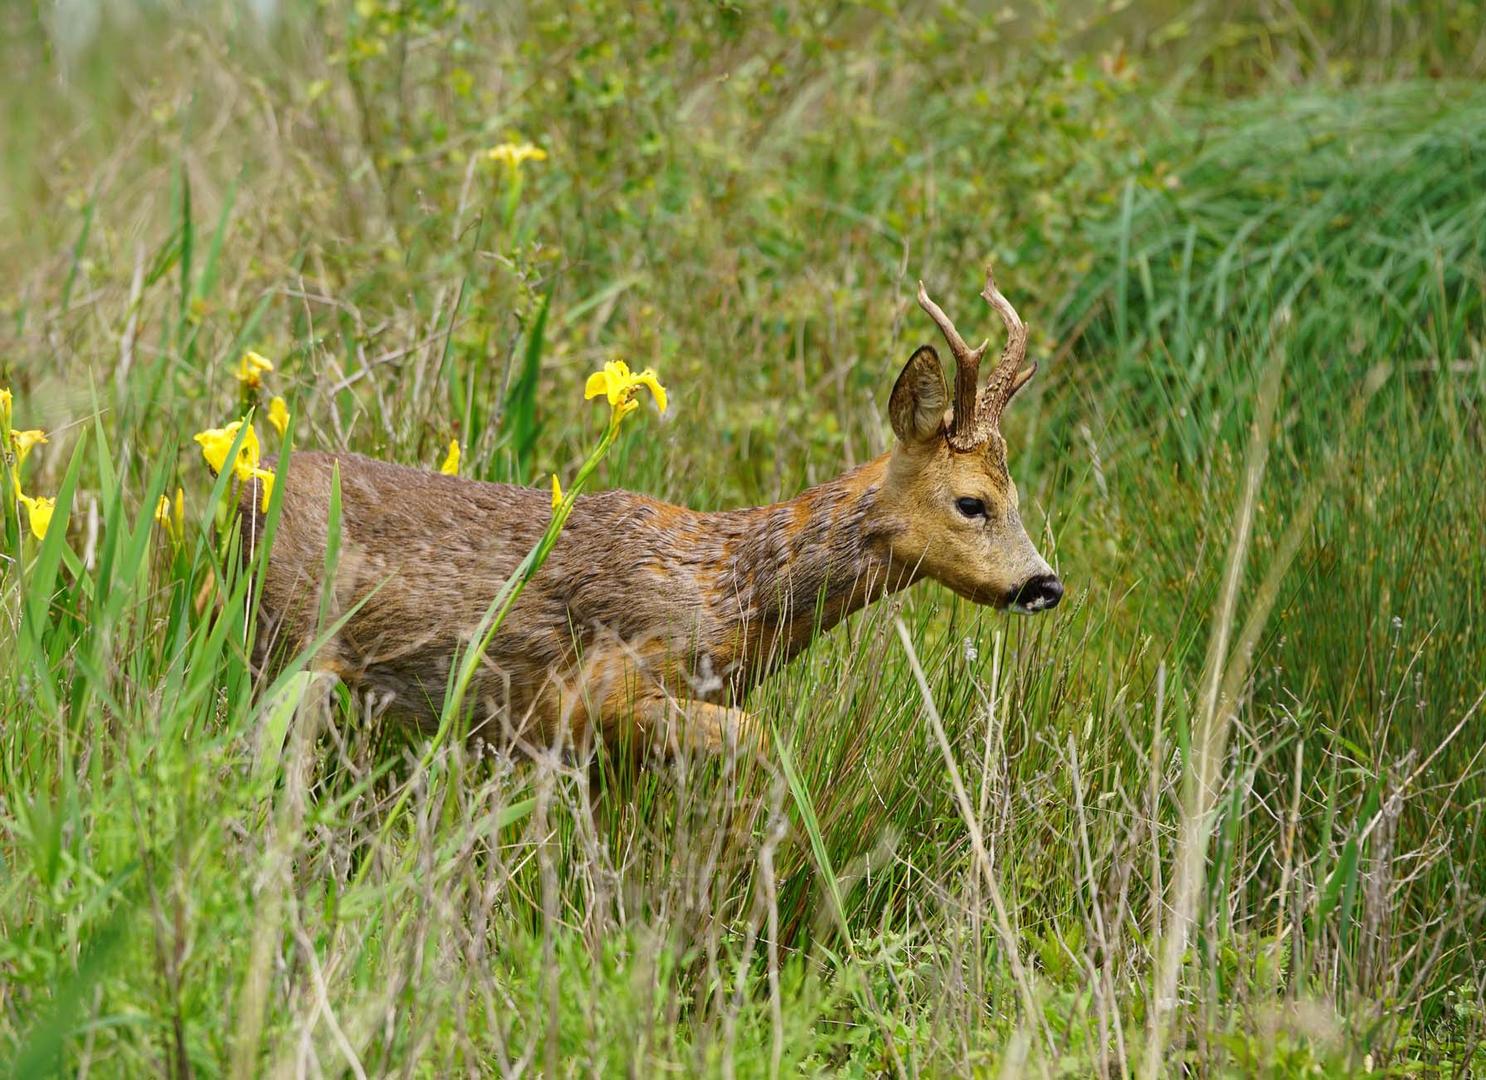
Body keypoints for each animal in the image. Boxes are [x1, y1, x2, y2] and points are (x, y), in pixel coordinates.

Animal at [243, 270, 1058, 757]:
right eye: (972, 503)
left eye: (1019, 497)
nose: (1044, 584)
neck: (733, 595)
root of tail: (244, 487)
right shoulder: (600, 689)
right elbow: (757, 740)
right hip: (288, 641)